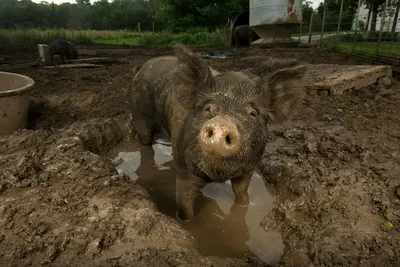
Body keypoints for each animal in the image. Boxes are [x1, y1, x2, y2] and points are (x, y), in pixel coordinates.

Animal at [128, 42, 306, 222]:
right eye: (208, 108)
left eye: (253, 113)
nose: (222, 123)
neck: (218, 176)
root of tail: (142, 67)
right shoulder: (185, 172)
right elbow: (185, 207)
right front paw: (186, 223)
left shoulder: (249, 169)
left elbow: (241, 193)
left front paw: (245, 207)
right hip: (139, 113)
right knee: (145, 142)